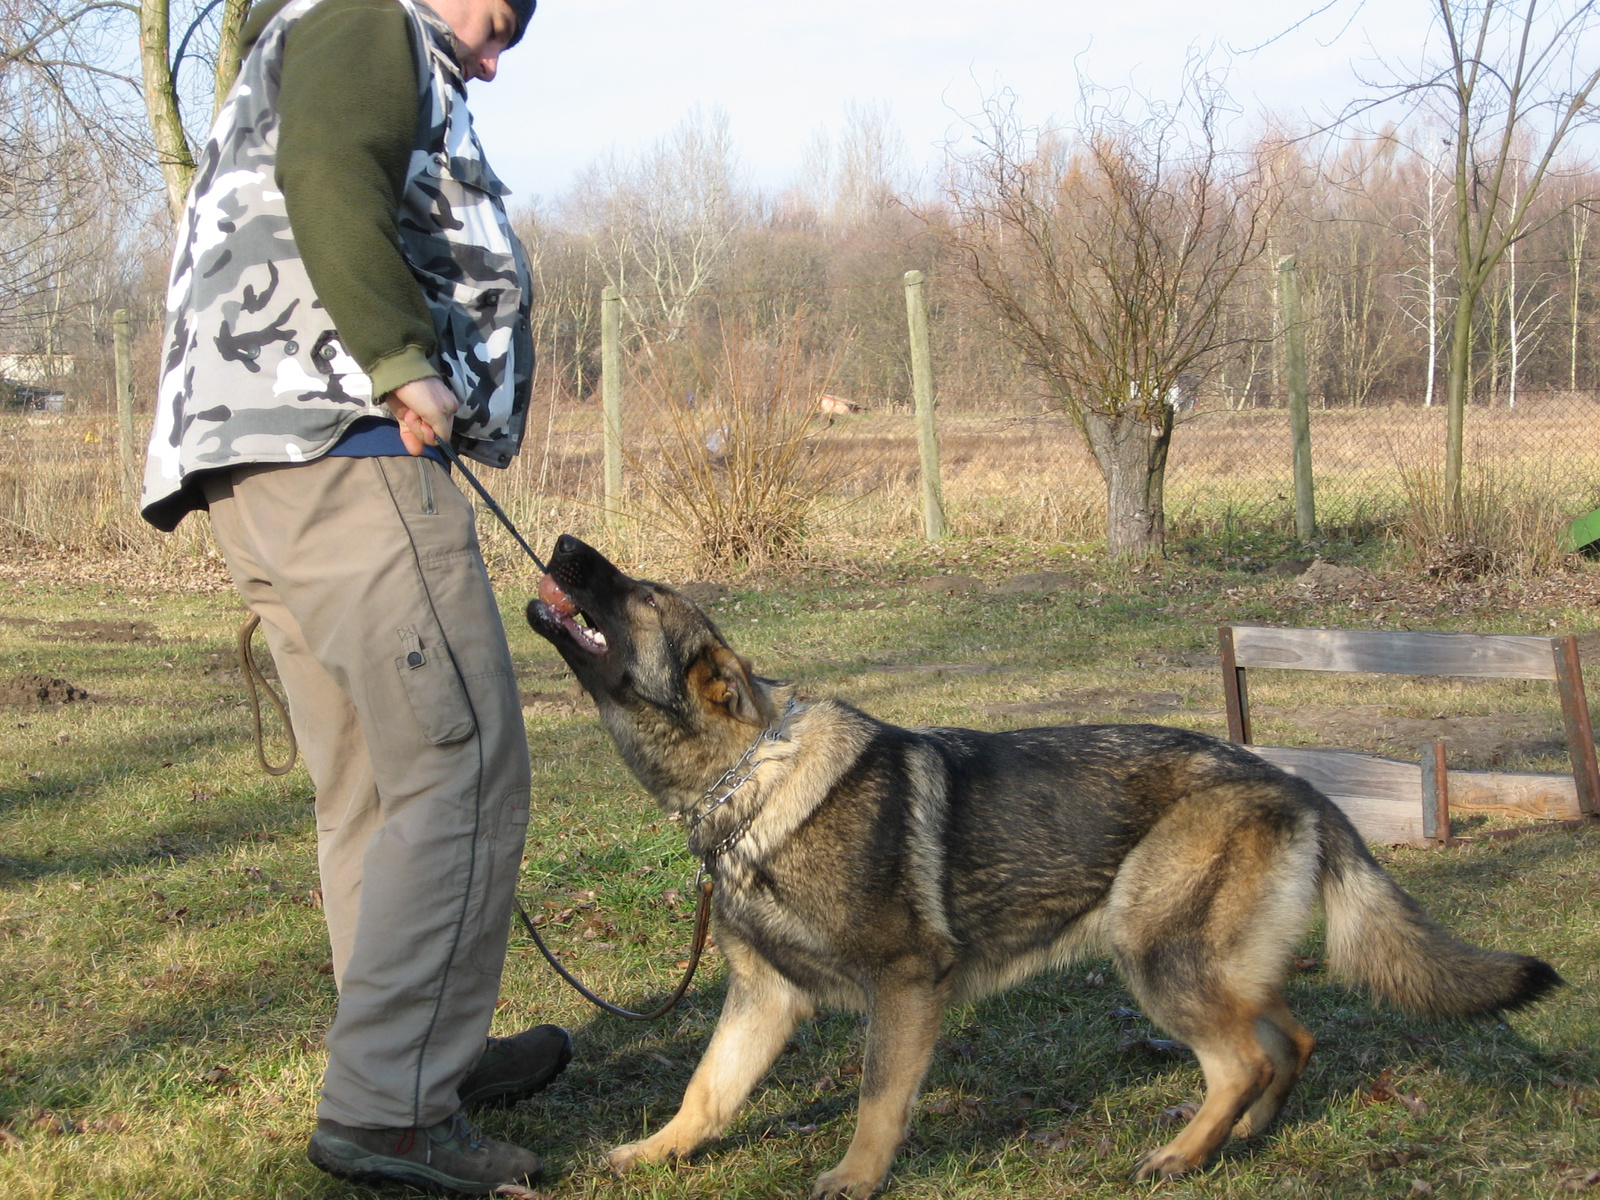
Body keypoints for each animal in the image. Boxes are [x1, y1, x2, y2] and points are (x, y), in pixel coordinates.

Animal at [531, 537, 1555, 1200]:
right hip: (1210, 960)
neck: (748, 774)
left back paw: (1181, 1156)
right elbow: (706, 1090)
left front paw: (856, 1179)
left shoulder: (905, 985)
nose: (565, 541)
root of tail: (1295, 784)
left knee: (1239, 1058)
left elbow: (876, 1098)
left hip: (1156, 952)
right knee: (1287, 1041)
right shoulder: (761, 997)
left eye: (643, 595)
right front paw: (654, 1153)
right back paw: (1246, 1137)